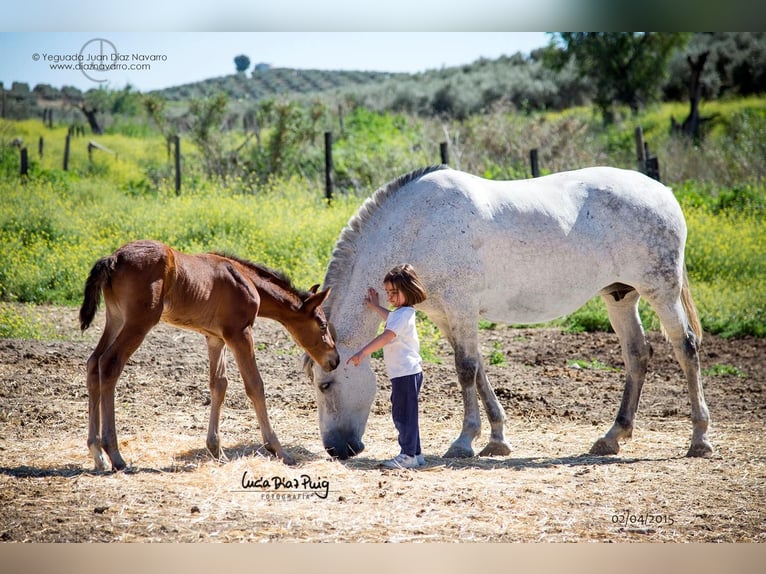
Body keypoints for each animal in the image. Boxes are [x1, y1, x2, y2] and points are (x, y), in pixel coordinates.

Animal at [79, 240, 339, 471]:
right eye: (323, 325)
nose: (334, 360)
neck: (245, 280)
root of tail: (113, 258)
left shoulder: (216, 338)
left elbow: (219, 385)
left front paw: (216, 450)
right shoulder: (240, 333)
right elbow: (255, 385)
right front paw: (279, 450)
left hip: (115, 318)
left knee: (93, 363)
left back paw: (97, 453)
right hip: (139, 323)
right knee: (109, 364)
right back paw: (115, 455)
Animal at [305, 165, 713, 461]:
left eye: (325, 385)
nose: (337, 449)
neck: (415, 228)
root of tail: (663, 192)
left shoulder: (461, 306)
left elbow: (466, 369)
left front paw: (464, 442)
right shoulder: (445, 315)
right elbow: (479, 371)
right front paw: (497, 439)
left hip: (661, 291)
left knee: (686, 348)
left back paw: (699, 439)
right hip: (620, 297)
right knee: (637, 354)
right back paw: (612, 437)